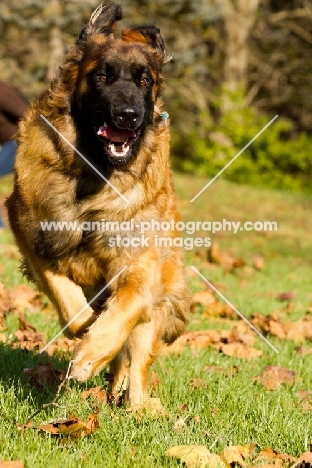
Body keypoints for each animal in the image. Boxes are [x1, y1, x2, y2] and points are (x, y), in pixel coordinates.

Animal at [6, 3, 189, 406]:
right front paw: (86, 330)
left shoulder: (139, 263)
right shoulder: (31, 236)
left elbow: (125, 310)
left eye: (144, 81)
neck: (96, 177)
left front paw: (92, 353)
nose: (128, 115)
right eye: (102, 76)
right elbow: (70, 305)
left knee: (135, 365)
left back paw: (135, 406)